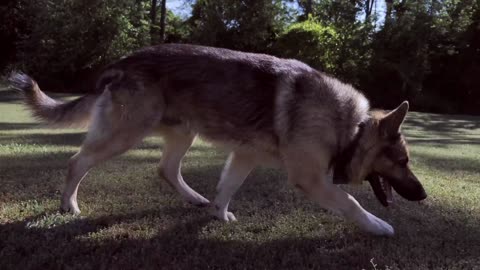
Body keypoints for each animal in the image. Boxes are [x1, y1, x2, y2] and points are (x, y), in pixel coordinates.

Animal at [9, 43, 426, 235]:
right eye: (402, 162)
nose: (423, 196)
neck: (352, 129)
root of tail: (122, 62)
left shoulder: (244, 157)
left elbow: (228, 187)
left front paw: (218, 213)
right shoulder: (310, 179)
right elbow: (351, 202)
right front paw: (378, 225)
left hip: (182, 133)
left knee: (166, 170)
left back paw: (196, 198)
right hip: (125, 134)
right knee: (76, 161)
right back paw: (69, 205)